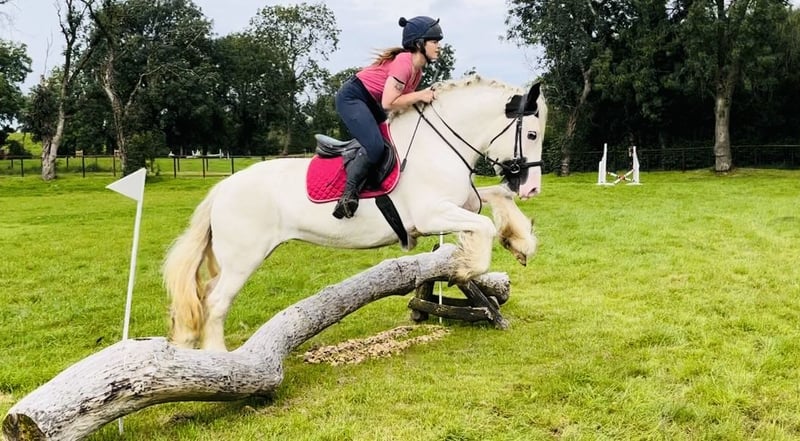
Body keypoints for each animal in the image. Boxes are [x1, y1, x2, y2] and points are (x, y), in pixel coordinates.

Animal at [164, 75, 548, 351]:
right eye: (531, 134)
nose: (531, 189)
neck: (438, 146)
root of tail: (221, 190)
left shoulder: (461, 203)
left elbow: (496, 199)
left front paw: (520, 242)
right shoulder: (431, 215)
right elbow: (482, 227)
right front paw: (466, 267)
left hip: (232, 259)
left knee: (204, 294)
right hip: (244, 258)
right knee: (216, 302)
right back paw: (217, 360)